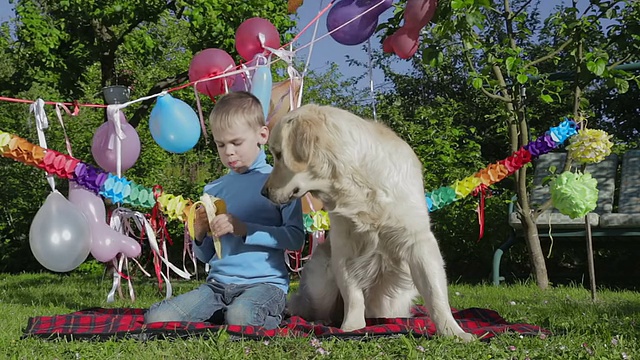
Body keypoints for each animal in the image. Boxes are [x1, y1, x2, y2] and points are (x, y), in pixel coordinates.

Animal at [260, 103, 476, 340]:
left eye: (279, 154)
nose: (264, 192)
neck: (358, 186)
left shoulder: (419, 242)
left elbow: (435, 294)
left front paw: (453, 331)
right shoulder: (343, 247)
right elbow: (353, 294)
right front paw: (352, 328)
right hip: (321, 280)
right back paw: (321, 321)